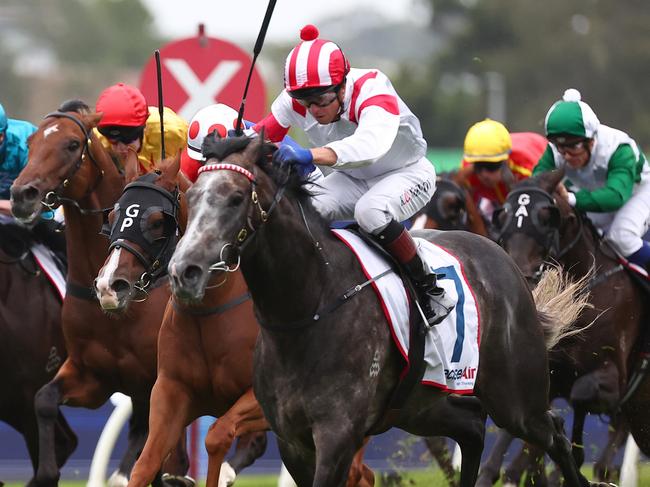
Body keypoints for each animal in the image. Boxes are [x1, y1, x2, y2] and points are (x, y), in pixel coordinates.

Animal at [9, 101, 187, 486]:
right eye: (30, 143)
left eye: (72, 144)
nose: (20, 195)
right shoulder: (92, 376)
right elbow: (44, 400)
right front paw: (45, 474)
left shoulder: (158, 380)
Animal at [92, 153, 374, 487]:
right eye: (112, 218)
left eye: (157, 222)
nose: (109, 285)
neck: (211, 308)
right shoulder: (170, 390)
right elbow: (145, 464)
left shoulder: (264, 404)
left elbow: (217, 435)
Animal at [168, 135, 608, 487]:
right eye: (191, 197)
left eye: (235, 197)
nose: (184, 270)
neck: (308, 308)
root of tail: (506, 261)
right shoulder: (291, 439)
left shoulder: (337, 433)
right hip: (420, 405)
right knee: (472, 430)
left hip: (515, 398)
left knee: (552, 431)